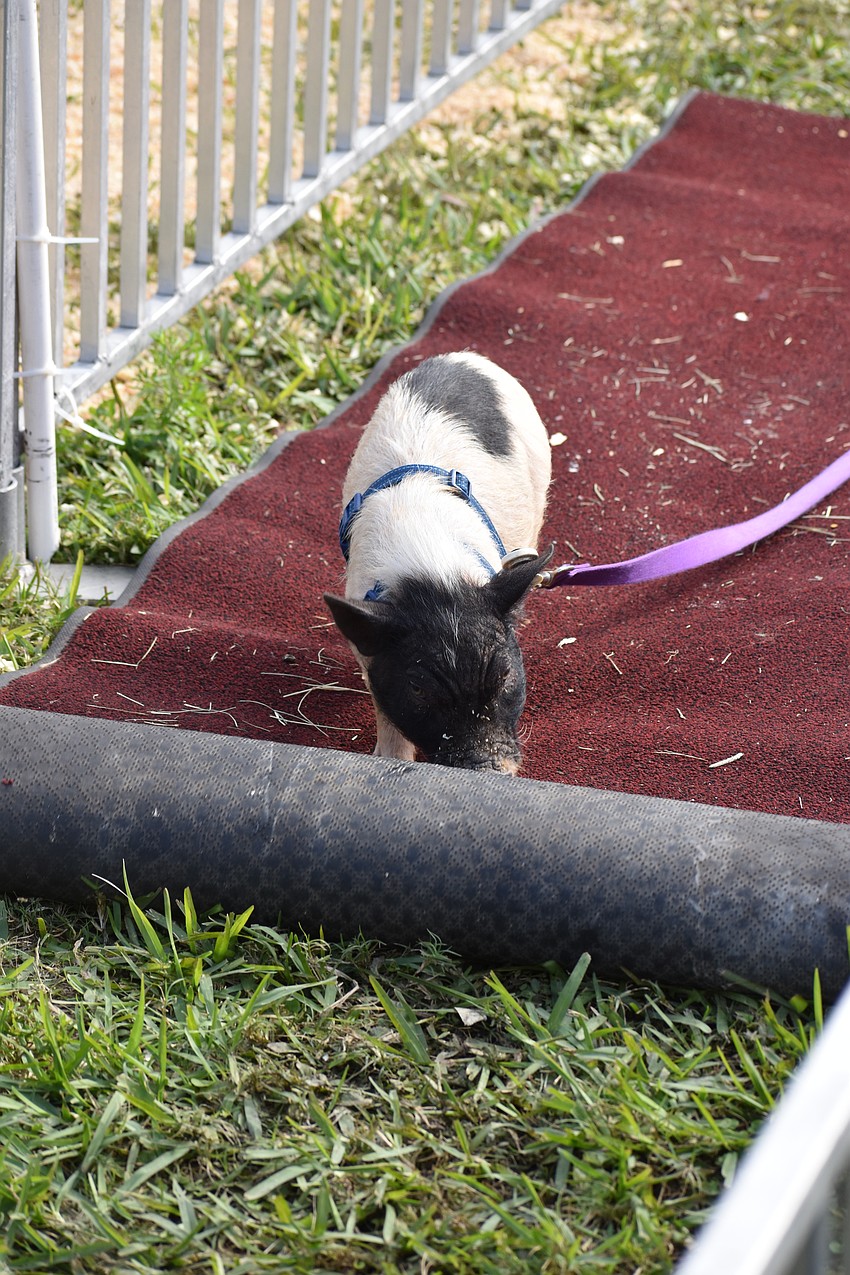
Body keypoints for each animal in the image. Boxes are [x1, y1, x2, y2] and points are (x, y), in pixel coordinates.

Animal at [324, 351, 552, 773]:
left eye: (505, 675)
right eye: (418, 688)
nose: (486, 767)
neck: (432, 574)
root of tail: (463, 356)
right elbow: (384, 708)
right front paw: (388, 759)